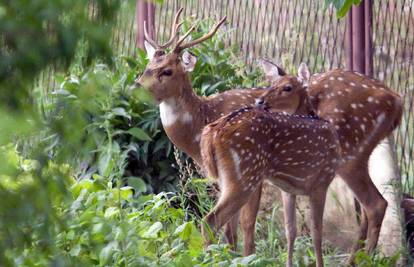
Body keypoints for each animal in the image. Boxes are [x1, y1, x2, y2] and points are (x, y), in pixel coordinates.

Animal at [136, 7, 308, 255]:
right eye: (147, 67)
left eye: (167, 71)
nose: (135, 86)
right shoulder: (221, 180)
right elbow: (230, 230)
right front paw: (232, 255)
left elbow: (246, 224)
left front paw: (247, 257)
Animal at [200, 89, 340, 266]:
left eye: (286, 89)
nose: (261, 101)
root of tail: (212, 133)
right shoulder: (321, 183)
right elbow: (316, 232)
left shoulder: (288, 189)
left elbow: (291, 230)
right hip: (245, 176)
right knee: (210, 221)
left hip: (227, 180)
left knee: (229, 229)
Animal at [260, 59, 402, 262]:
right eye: (270, 84)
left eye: (287, 88)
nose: (260, 101)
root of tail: (398, 103)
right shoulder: (287, 188)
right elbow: (291, 230)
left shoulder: (316, 183)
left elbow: (314, 231)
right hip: (360, 156)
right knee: (366, 208)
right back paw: (352, 260)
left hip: (349, 157)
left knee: (376, 204)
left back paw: (365, 260)